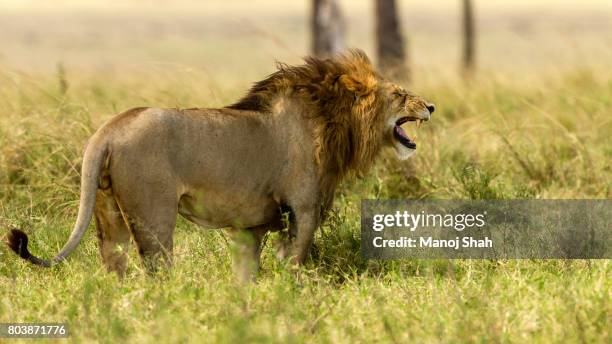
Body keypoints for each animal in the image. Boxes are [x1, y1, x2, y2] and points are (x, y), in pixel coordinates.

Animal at [5, 49, 436, 280]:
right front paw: (291, 296)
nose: (431, 106)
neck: (331, 119)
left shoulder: (251, 227)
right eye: (400, 94)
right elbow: (294, 262)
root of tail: (108, 130)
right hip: (154, 215)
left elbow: (248, 272)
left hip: (109, 215)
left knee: (115, 265)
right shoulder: (303, 208)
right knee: (156, 269)